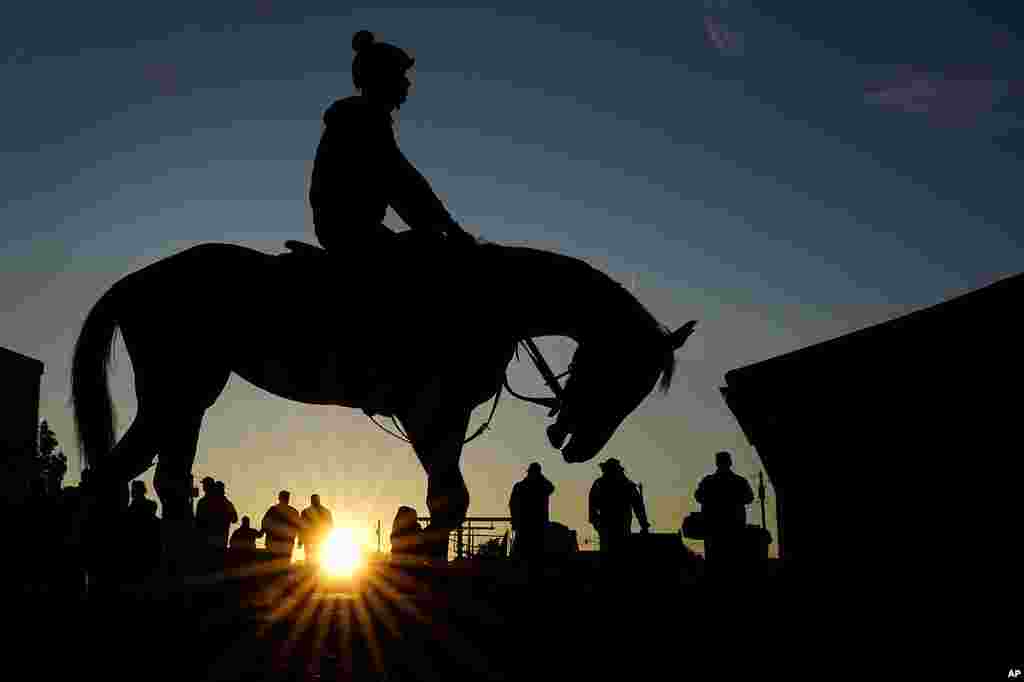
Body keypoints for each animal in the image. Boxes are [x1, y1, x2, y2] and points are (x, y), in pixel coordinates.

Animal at [70, 231, 696, 561]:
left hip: (187, 399)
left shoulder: (444, 417)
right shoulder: (430, 412)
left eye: (641, 389)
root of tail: (136, 282)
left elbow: (448, 500)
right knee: (118, 476)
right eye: (622, 373)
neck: (489, 295)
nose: (579, 445)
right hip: (176, 392)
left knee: (166, 480)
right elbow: (449, 499)